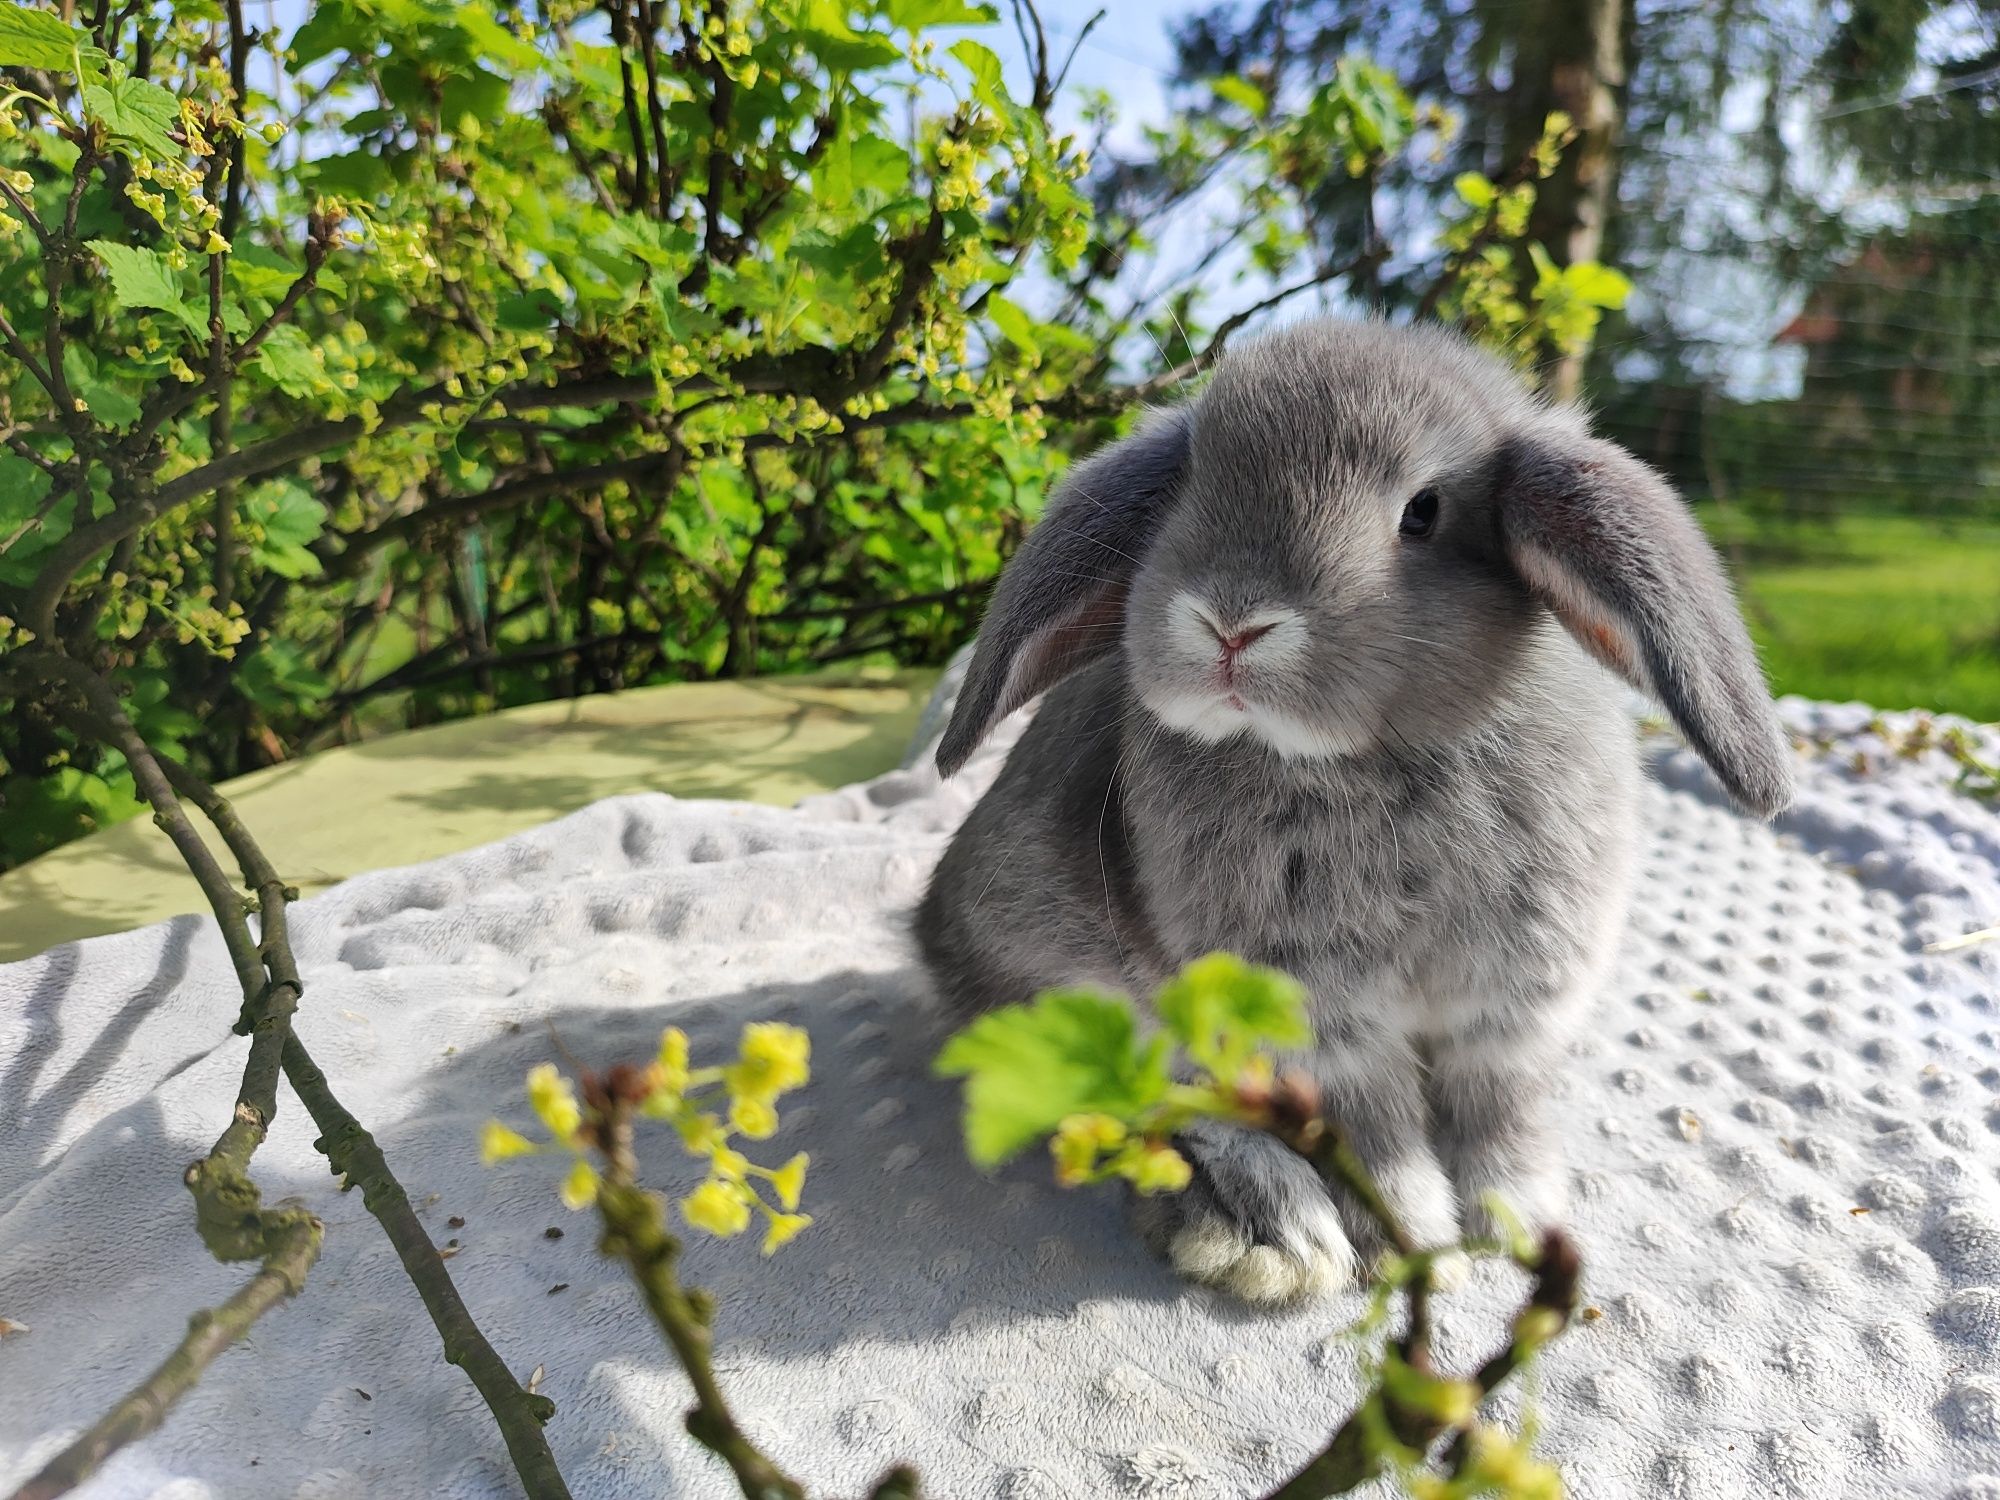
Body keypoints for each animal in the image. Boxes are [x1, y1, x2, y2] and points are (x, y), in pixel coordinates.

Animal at [916, 320, 1792, 1304]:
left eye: (1424, 511)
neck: (1374, 760)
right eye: (1190, 483)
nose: (1230, 624)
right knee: (1152, 1105)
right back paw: (1275, 1230)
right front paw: (1415, 1243)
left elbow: (1501, 1114)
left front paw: (1516, 1226)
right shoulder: (1324, 1016)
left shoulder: (1511, 1004)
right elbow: (1378, 1134)